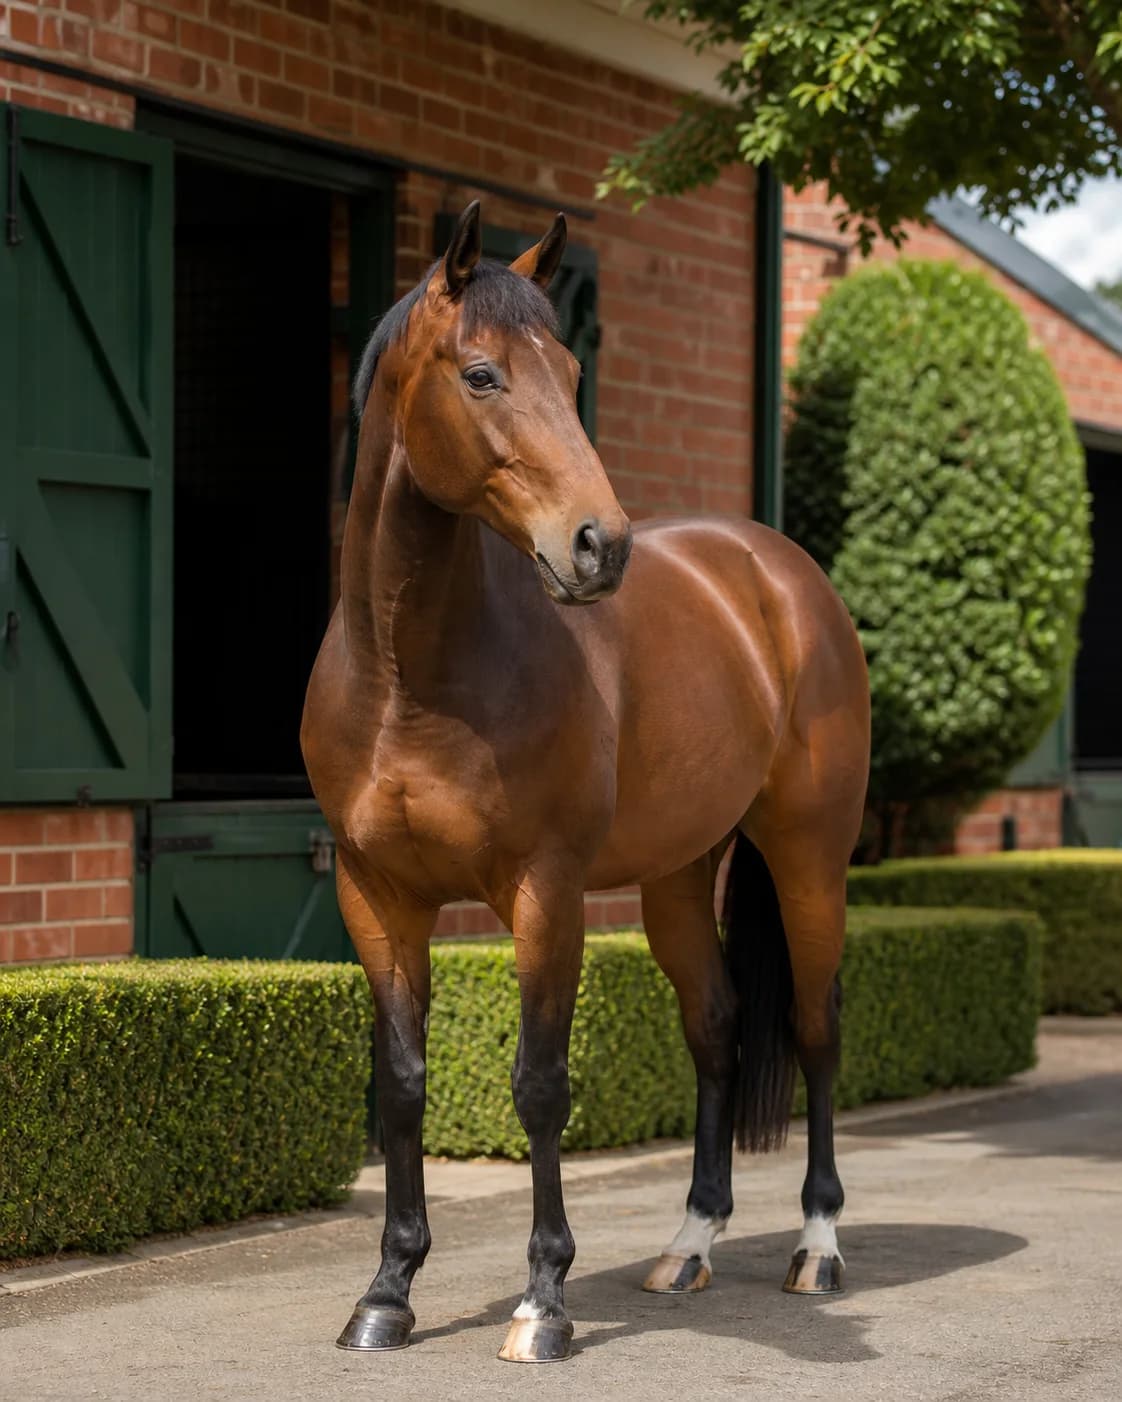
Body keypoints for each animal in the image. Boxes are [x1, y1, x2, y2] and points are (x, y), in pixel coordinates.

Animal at [301, 201, 871, 1364]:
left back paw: (818, 1247)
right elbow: (401, 1085)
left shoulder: (544, 892)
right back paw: (689, 1246)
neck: (408, 678)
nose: (598, 547)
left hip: (807, 859)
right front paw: (387, 1293)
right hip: (676, 877)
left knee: (817, 1025)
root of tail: (782, 576)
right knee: (717, 1025)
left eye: (571, 371)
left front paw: (543, 1303)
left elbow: (540, 1082)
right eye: (481, 374)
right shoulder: (376, 895)